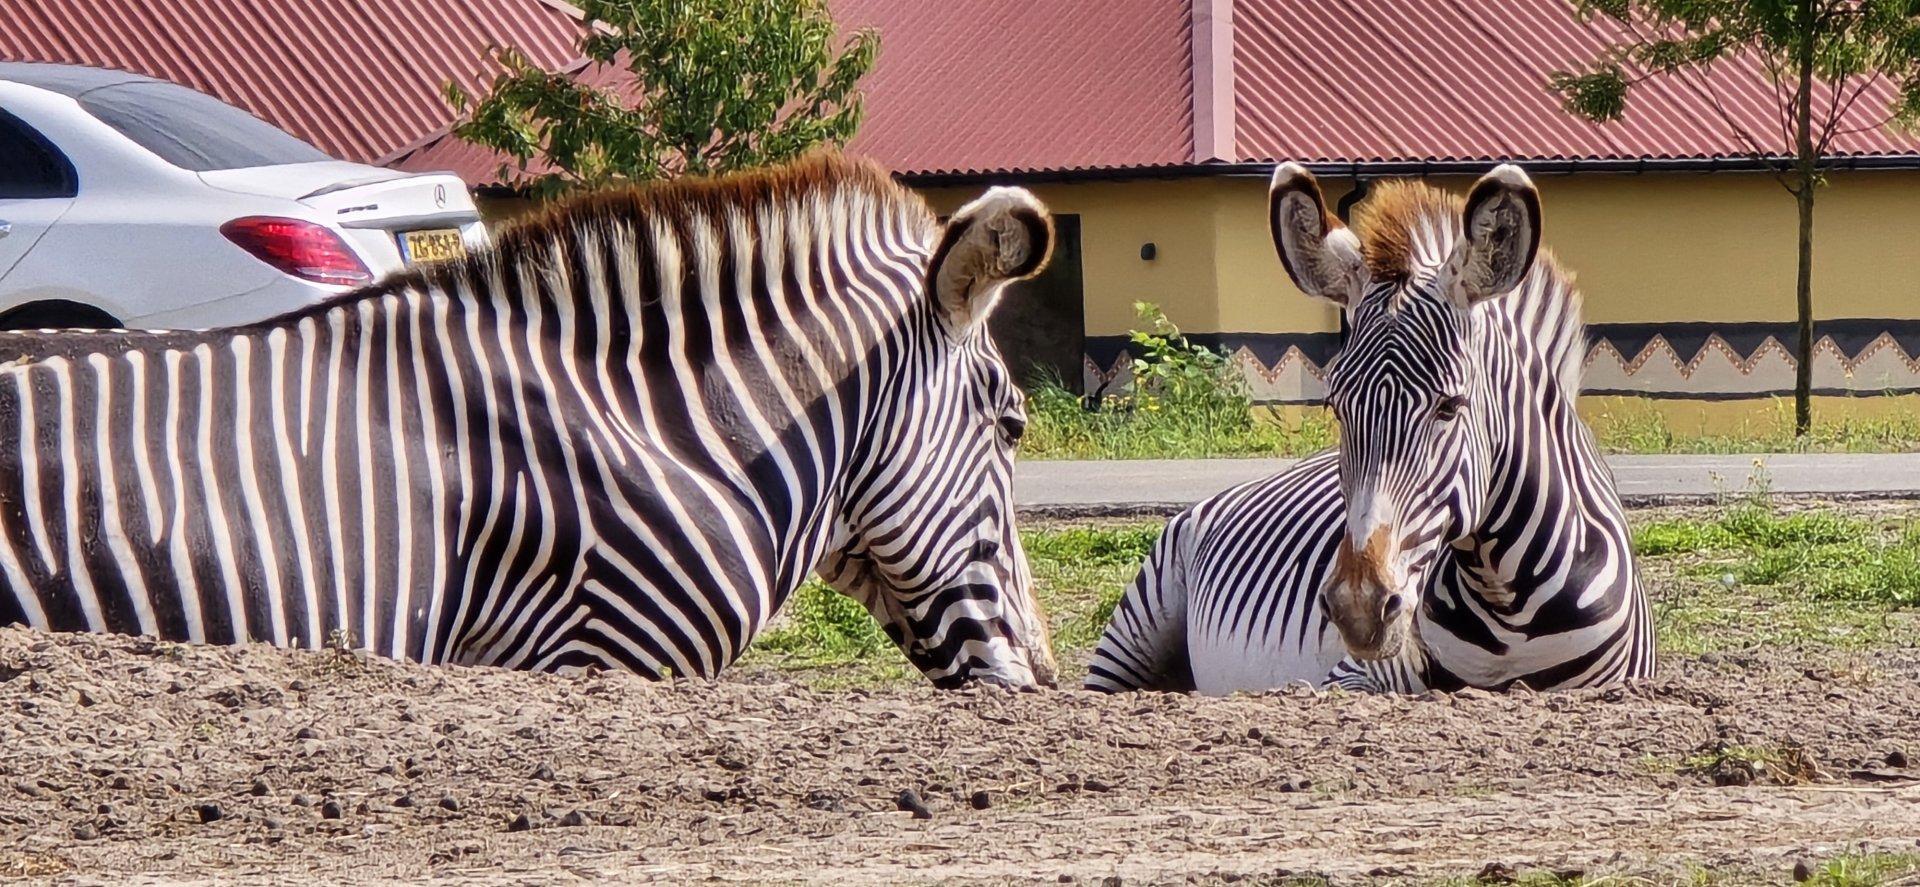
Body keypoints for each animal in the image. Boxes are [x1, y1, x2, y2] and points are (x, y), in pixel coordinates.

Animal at [1085, 163, 1654, 695]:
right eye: (1337, 407)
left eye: (1450, 407)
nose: (1357, 609)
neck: (1507, 603)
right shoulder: (1349, 674)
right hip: (1135, 627)